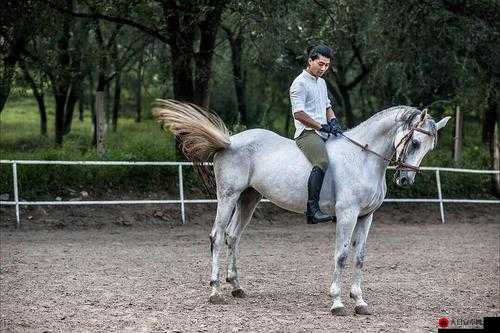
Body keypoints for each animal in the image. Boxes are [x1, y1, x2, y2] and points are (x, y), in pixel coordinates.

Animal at [152, 100, 450, 316]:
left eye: (429, 148)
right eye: (414, 142)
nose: (405, 179)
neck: (363, 158)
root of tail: (230, 141)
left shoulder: (366, 216)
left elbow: (360, 257)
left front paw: (360, 301)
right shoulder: (347, 214)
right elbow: (342, 256)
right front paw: (337, 302)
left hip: (249, 198)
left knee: (233, 236)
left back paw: (236, 287)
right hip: (228, 196)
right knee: (216, 236)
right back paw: (215, 292)